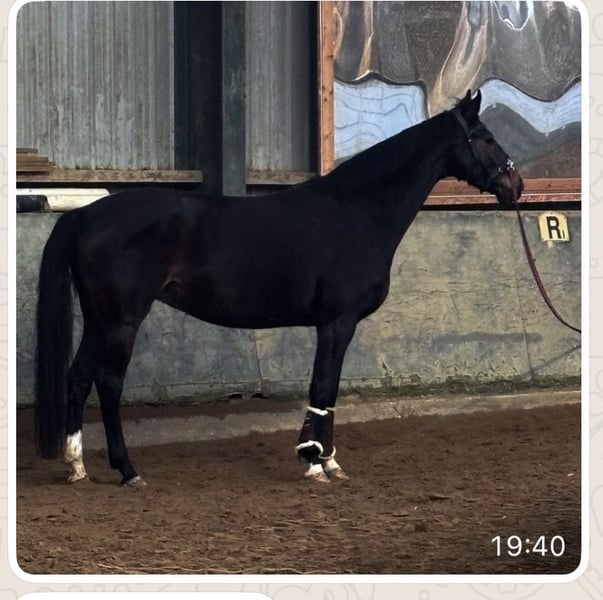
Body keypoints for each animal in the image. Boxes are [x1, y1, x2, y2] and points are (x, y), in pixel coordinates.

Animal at [34, 89, 523, 487]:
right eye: (485, 137)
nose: (514, 185)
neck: (357, 211)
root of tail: (86, 214)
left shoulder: (333, 325)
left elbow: (325, 390)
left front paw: (326, 460)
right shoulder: (337, 323)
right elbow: (323, 388)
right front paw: (315, 463)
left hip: (99, 320)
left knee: (78, 378)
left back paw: (77, 467)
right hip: (122, 321)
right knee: (108, 383)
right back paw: (127, 470)